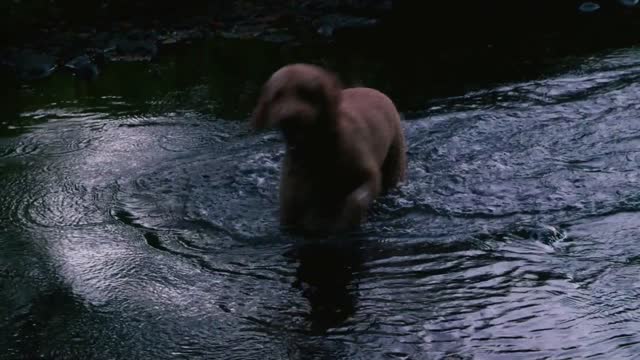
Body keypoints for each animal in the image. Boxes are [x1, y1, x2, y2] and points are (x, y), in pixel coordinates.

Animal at [250, 63, 404, 233]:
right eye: (277, 95)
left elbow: (357, 199)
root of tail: (373, 90)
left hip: (395, 158)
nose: (289, 118)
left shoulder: (368, 173)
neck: (318, 149)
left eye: (305, 92)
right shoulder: (292, 203)